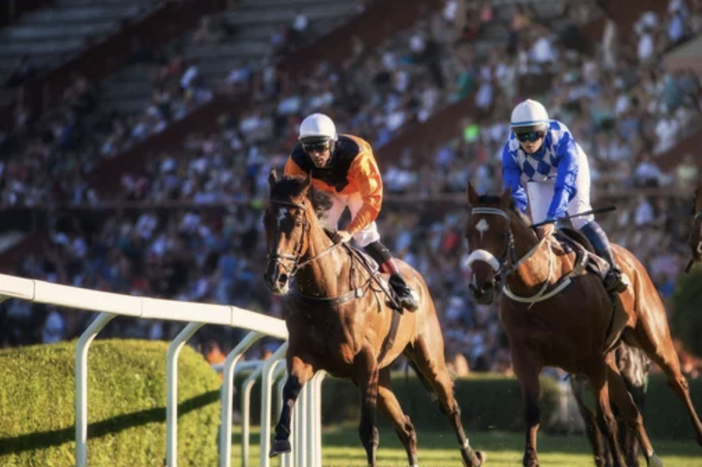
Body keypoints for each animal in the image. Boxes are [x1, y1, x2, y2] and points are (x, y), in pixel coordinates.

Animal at [262, 170, 486, 467]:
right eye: (266, 219)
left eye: (297, 222)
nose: (276, 277)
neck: (325, 289)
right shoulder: (303, 355)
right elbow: (289, 391)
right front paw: (280, 438)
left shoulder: (365, 362)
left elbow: (368, 431)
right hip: (381, 377)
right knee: (406, 427)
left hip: (428, 358)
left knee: (449, 406)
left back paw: (471, 455)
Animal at [463, 183, 702, 467]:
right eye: (467, 234)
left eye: (502, 234)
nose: (481, 287)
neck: (540, 286)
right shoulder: (525, 356)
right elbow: (532, 413)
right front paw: (530, 459)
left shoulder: (591, 359)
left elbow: (606, 421)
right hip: (609, 360)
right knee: (631, 411)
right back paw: (653, 458)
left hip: (653, 339)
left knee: (678, 383)